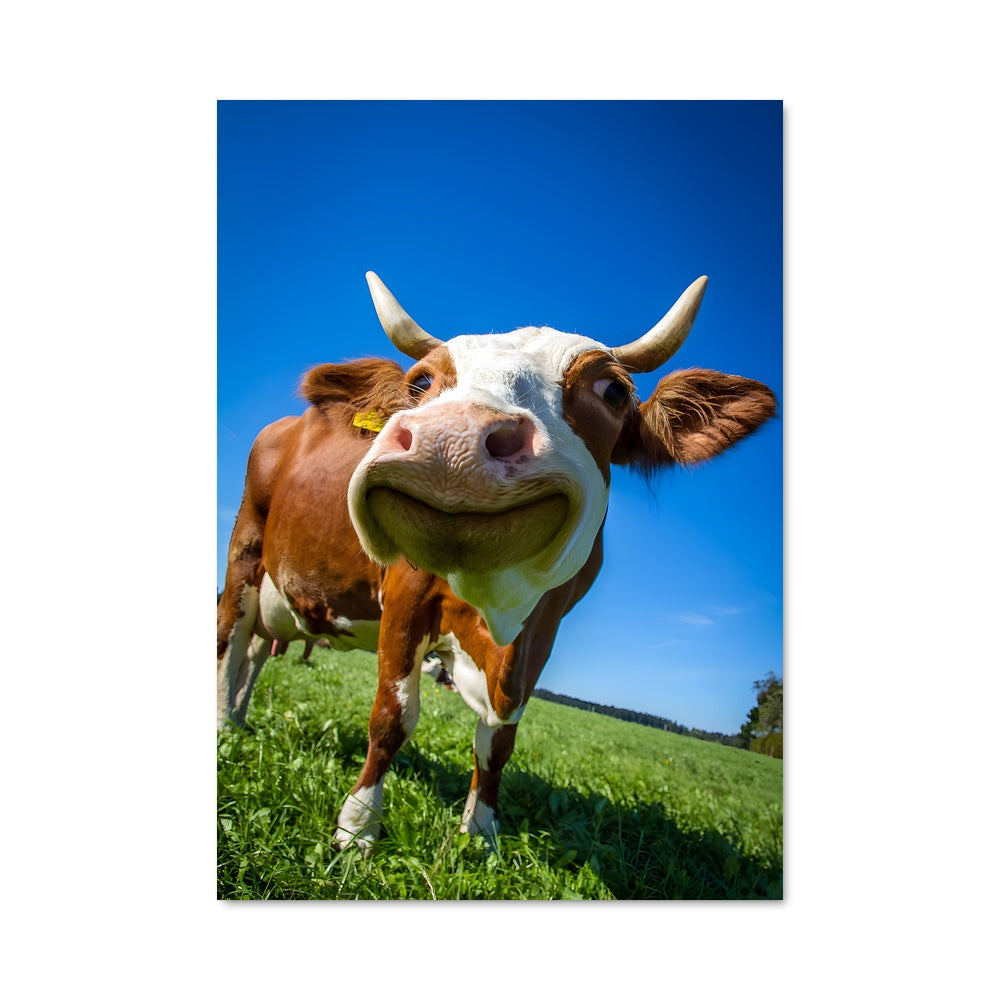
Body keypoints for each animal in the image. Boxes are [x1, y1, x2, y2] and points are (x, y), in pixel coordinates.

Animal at [217, 272, 776, 855]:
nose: (451, 438)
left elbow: (499, 740)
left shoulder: (544, 630)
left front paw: (480, 831)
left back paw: (240, 716)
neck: (496, 606)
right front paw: (357, 828)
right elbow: (392, 717)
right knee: (230, 638)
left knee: (255, 650)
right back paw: (224, 727)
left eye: (613, 392)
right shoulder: (405, 597)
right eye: (421, 382)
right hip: (244, 552)